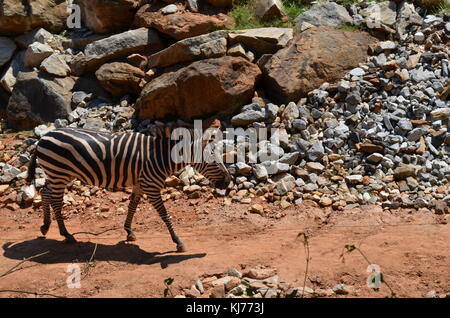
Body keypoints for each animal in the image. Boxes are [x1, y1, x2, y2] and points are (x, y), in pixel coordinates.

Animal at [26, 126, 230, 251]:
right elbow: (165, 215)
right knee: (55, 200)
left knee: (45, 192)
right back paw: (66, 234)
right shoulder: (151, 186)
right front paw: (178, 241)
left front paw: (129, 232)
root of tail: (43, 137)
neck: (161, 157)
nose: (228, 182)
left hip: (59, 174)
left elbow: (132, 205)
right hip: (58, 172)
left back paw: (45, 226)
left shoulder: (140, 183)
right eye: (213, 158)